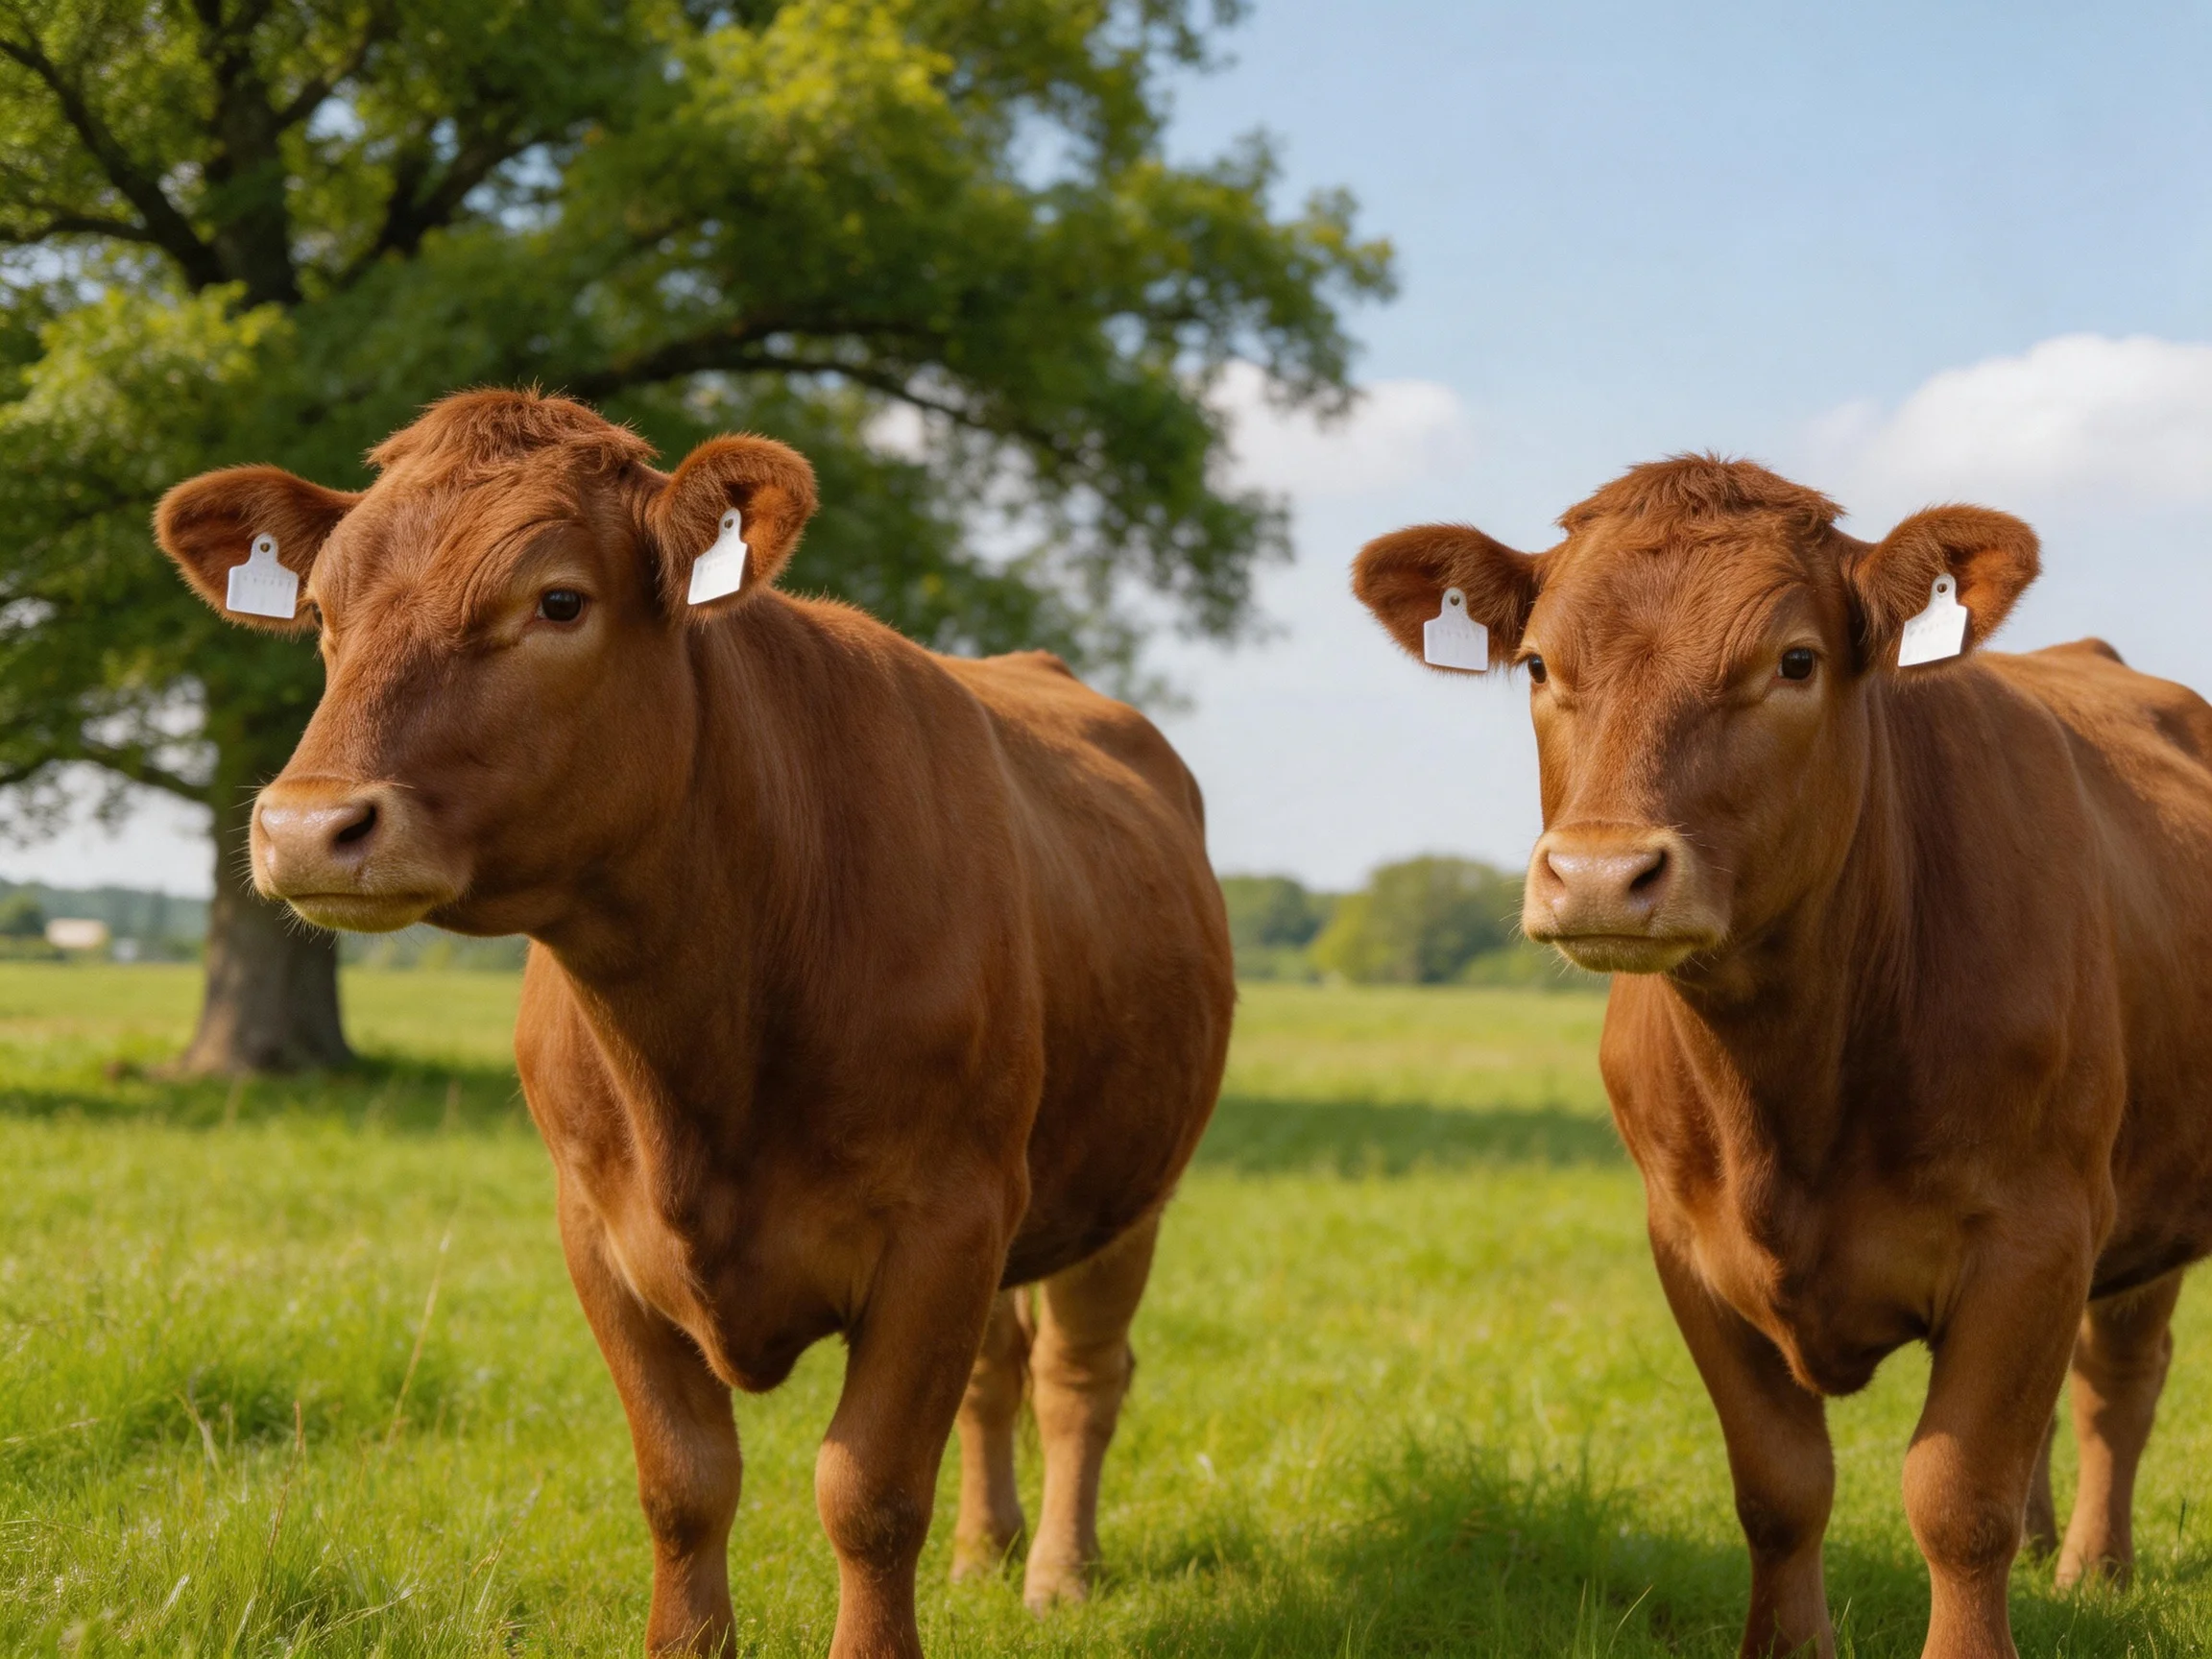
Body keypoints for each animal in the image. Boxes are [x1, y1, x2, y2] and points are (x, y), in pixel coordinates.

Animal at [155, 390, 1236, 1659]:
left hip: (1126, 1192)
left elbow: (868, 1492)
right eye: (322, 613)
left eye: (558, 600)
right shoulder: (599, 1231)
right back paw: (987, 1551)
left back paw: (1059, 1571)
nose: (308, 827)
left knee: (1079, 1376)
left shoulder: (947, 1222)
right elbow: (685, 1484)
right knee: (998, 1375)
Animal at [1354, 456, 2212, 1659]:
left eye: (1794, 661)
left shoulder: (2037, 1231)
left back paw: (2093, 1567)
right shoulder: (1687, 1244)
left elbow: (1959, 1497)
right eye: (1537, 665)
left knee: (2115, 1385)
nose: (1600, 874)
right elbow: (1781, 1486)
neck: (1788, 1085)